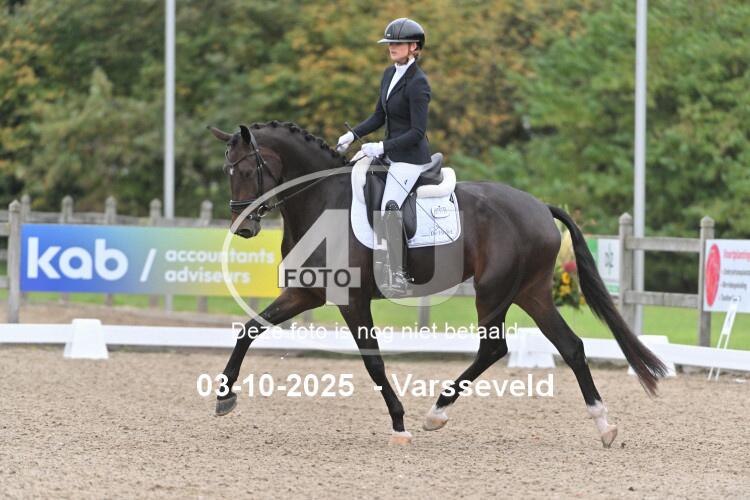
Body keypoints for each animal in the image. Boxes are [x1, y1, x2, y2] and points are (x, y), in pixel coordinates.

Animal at [208, 121, 667, 447]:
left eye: (246, 169)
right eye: (227, 171)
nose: (244, 227)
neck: (323, 201)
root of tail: (539, 206)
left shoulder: (353, 300)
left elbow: (373, 362)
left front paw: (399, 423)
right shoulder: (307, 291)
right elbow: (249, 329)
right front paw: (224, 396)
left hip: (494, 291)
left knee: (494, 348)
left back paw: (436, 413)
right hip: (531, 291)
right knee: (570, 347)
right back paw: (604, 425)